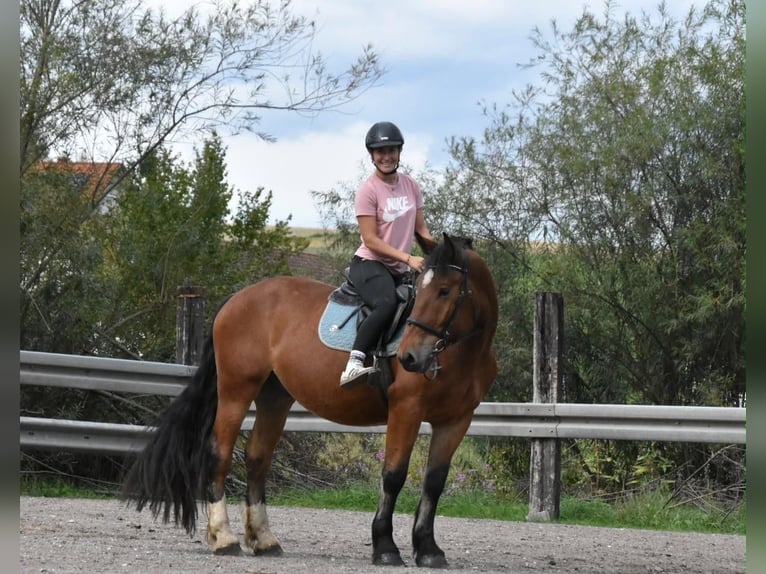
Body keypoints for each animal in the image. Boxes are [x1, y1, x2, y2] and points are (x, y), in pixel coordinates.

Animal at [121, 231, 498, 568]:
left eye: (445, 291)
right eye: (421, 291)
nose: (409, 358)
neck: (463, 351)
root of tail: (237, 298)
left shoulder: (456, 421)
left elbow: (434, 482)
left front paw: (429, 550)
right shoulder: (406, 410)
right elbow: (393, 475)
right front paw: (385, 548)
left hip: (275, 398)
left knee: (258, 459)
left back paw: (264, 540)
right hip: (236, 390)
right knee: (220, 454)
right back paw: (224, 537)